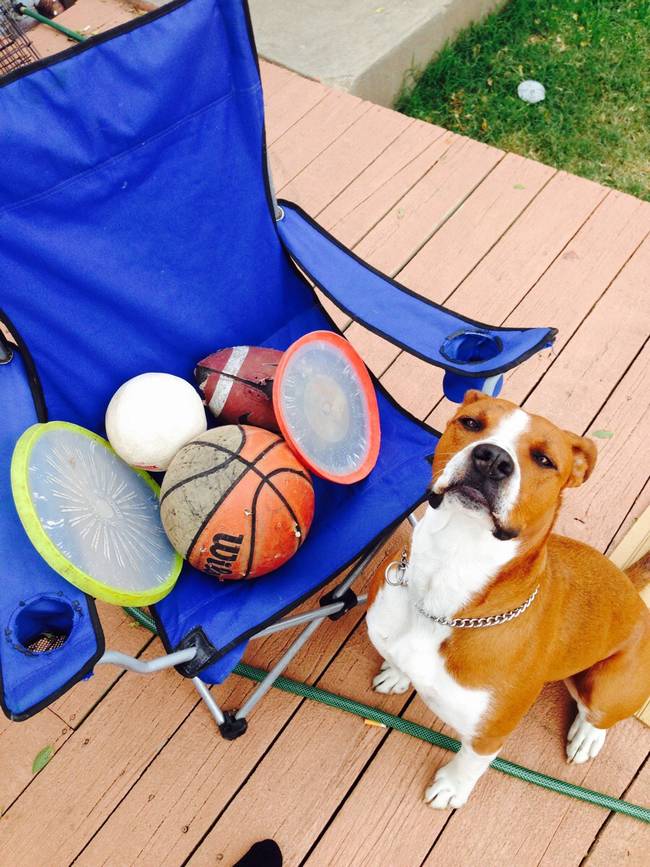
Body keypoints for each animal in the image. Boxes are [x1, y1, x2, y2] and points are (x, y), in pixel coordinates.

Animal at [368, 394, 644, 812]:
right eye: (470, 423)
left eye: (544, 459)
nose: (492, 458)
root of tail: (632, 591)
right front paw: (398, 673)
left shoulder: (489, 733)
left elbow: (469, 763)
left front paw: (451, 787)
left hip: (605, 687)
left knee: (598, 714)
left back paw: (587, 735)